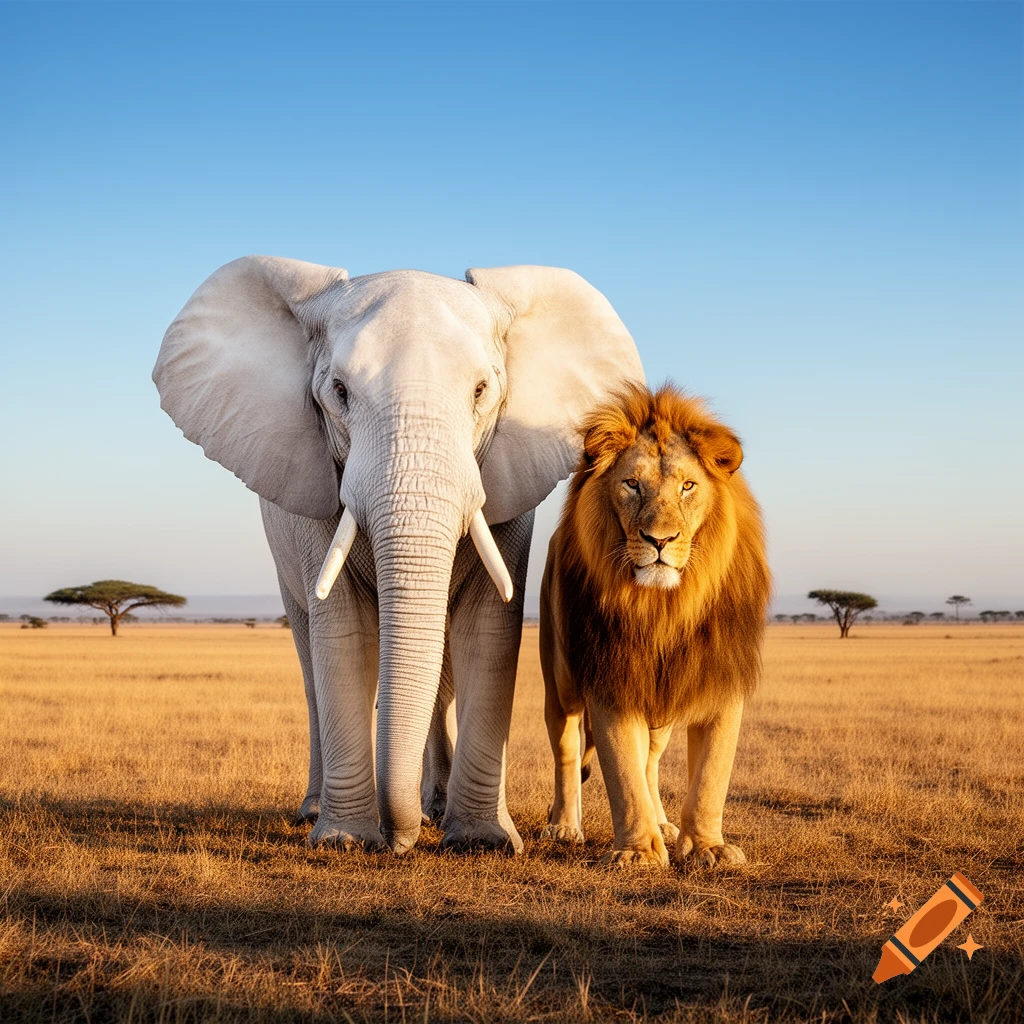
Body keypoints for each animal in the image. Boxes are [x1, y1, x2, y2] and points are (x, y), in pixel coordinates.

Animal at [153, 256, 643, 855]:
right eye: (339, 392)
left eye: (481, 391)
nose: (397, 841)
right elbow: (344, 631)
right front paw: (343, 841)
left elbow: (489, 630)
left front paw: (482, 841)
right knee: (311, 660)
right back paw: (318, 811)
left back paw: (433, 812)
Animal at [539, 383, 771, 867]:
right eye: (631, 484)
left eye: (688, 486)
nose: (659, 540)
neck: (665, 608)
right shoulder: (610, 678)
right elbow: (622, 773)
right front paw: (638, 853)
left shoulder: (719, 675)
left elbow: (711, 777)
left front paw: (707, 847)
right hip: (561, 682)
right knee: (568, 752)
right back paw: (564, 827)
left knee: (651, 759)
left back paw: (663, 824)